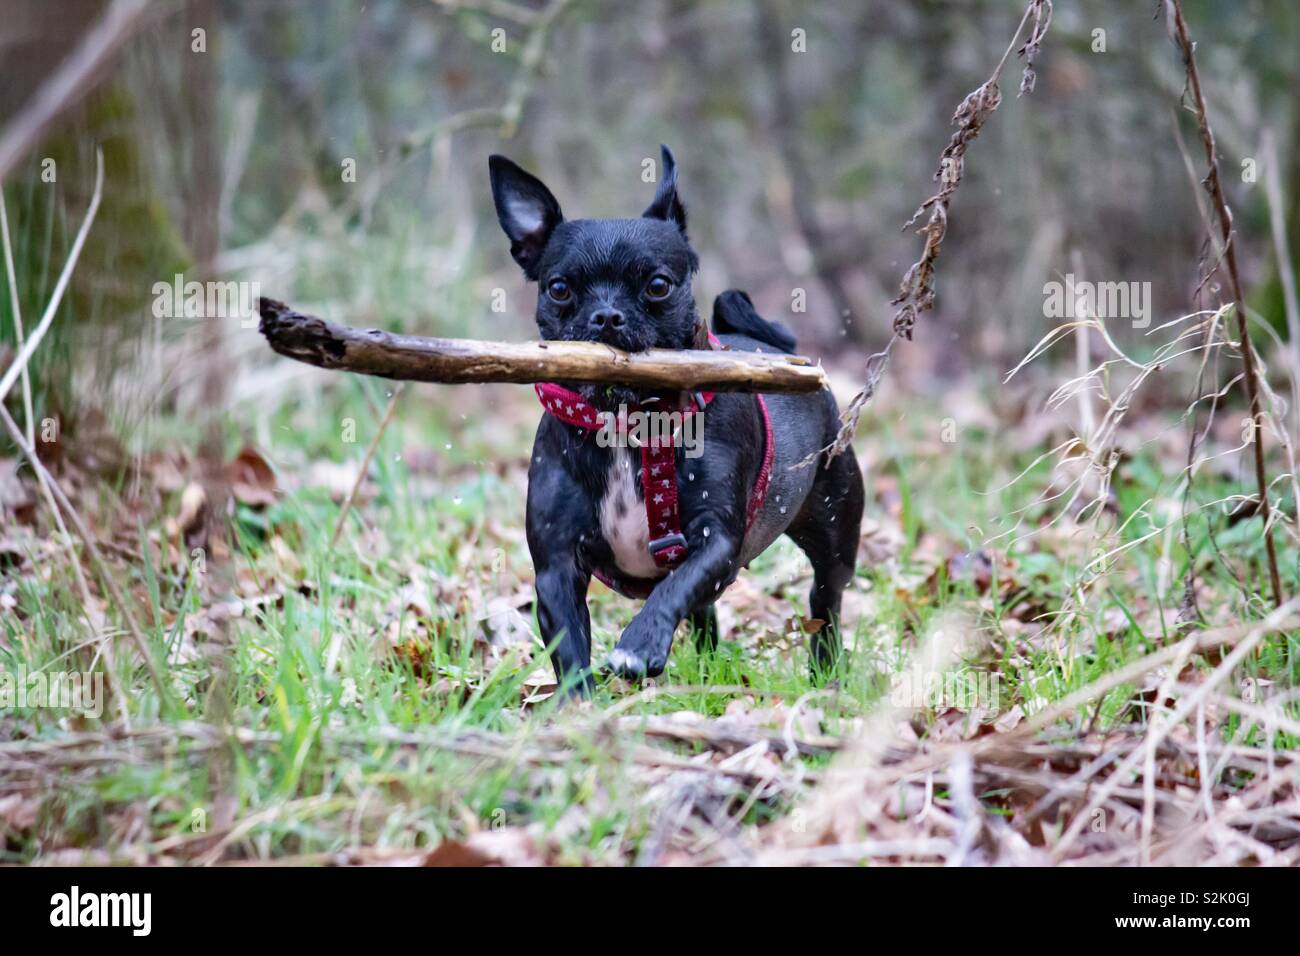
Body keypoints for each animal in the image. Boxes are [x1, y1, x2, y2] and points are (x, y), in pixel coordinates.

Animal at [488, 143, 863, 697]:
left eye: (658, 285)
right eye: (558, 289)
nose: (606, 317)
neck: (630, 425)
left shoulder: (716, 539)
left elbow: (674, 587)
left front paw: (639, 644)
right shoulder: (556, 567)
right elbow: (572, 647)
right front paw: (576, 708)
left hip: (834, 528)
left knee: (825, 599)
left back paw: (825, 670)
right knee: (705, 614)